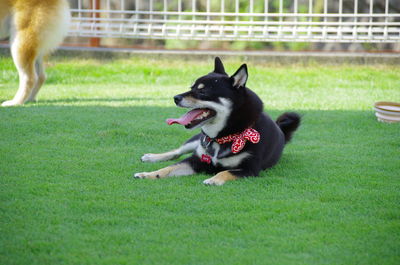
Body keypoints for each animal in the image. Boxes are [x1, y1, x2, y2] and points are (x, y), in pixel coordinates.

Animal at [134, 57, 300, 186]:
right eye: (191, 87)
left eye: (202, 91)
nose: (175, 98)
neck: (224, 136)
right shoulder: (195, 160)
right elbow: (168, 168)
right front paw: (148, 174)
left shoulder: (250, 169)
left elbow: (225, 172)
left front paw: (213, 179)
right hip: (196, 141)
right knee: (177, 152)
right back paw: (152, 157)